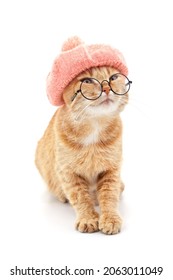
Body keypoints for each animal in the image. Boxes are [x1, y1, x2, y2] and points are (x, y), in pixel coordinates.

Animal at [35, 66, 129, 234]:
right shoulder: (67, 173)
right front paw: (88, 218)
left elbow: (109, 195)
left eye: (113, 78)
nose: (106, 88)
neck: (94, 127)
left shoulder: (112, 169)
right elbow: (80, 197)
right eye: (87, 81)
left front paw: (110, 218)